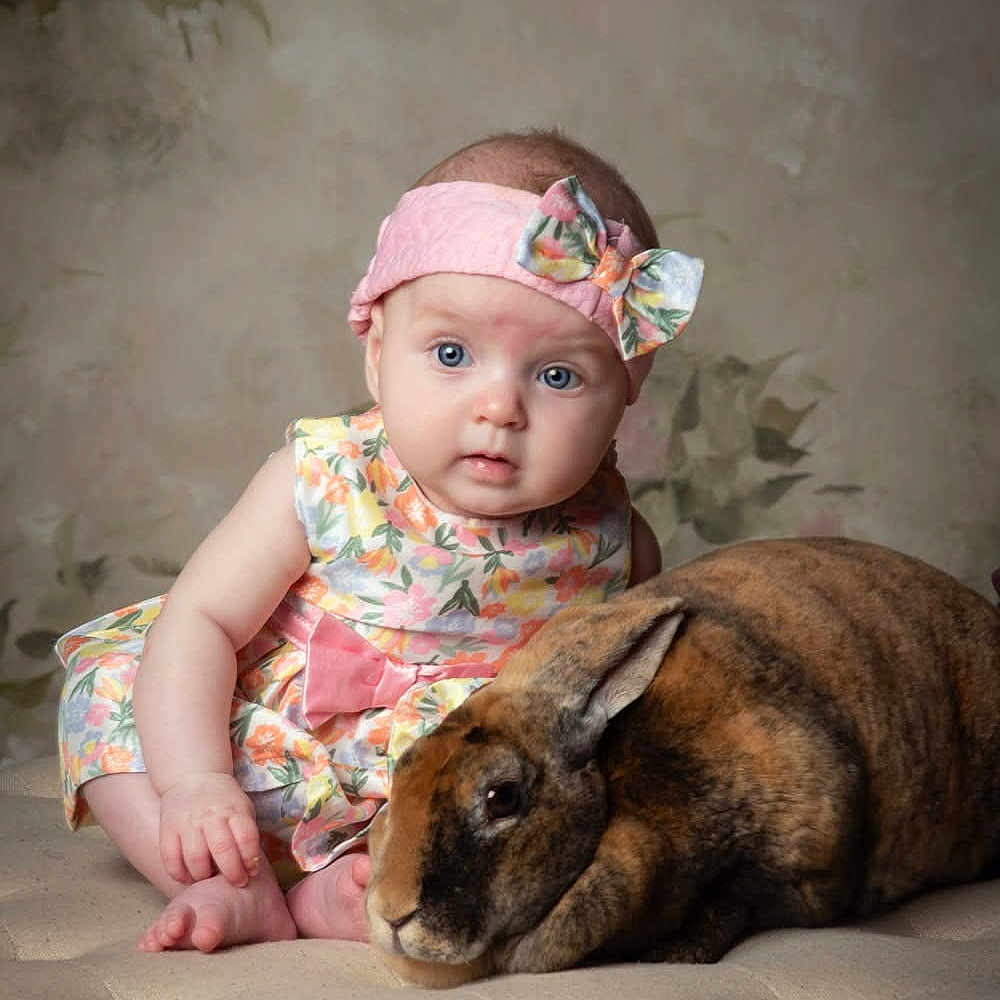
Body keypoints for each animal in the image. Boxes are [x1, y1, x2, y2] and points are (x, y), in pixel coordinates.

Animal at [365, 537, 1000, 987]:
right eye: (401, 774)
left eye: (502, 797)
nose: (393, 915)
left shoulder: (803, 864)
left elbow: (734, 902)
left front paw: (671, 951)